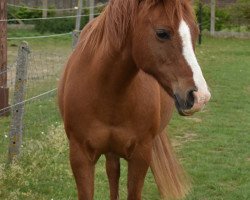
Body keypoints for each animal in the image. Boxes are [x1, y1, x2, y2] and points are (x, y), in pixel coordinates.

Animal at [58, 0, 211, 199]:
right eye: (162, 33)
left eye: (195, 32)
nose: (200, 96)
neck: (108, 94)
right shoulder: (80, 157)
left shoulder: (140, 156)